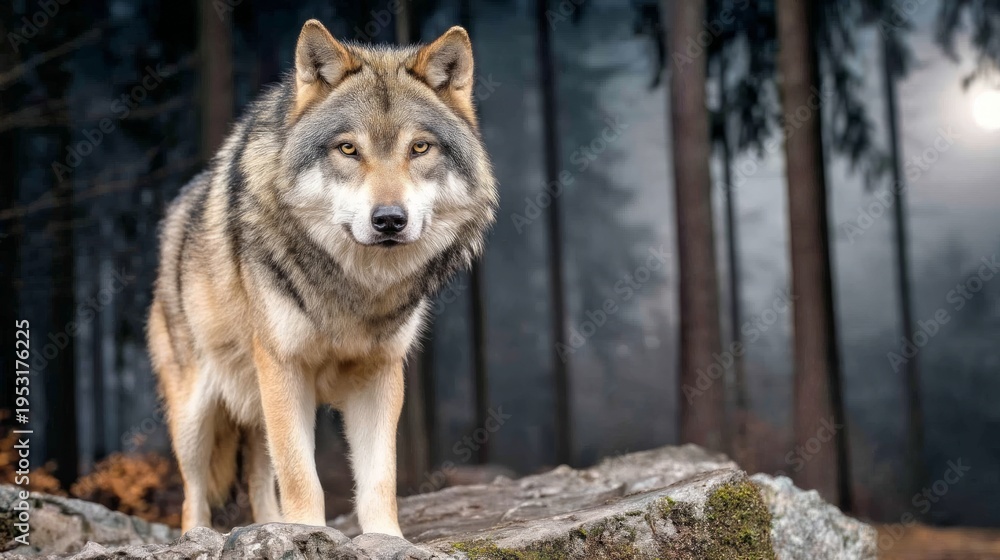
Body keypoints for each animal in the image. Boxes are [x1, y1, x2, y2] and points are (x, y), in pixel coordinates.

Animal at [147, 20, 497, 536]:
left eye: (419, 147)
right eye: (348, 149)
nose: (389, 220)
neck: (356, 287)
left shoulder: (380, 374)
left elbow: (379, 479)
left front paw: (384, 540)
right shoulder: (284, 367)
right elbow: (301, 476)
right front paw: (310, 534)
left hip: (253, 409)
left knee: (258, 478)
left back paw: (270, 529)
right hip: (197, 416)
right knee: (194, 495)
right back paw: (200, 538)